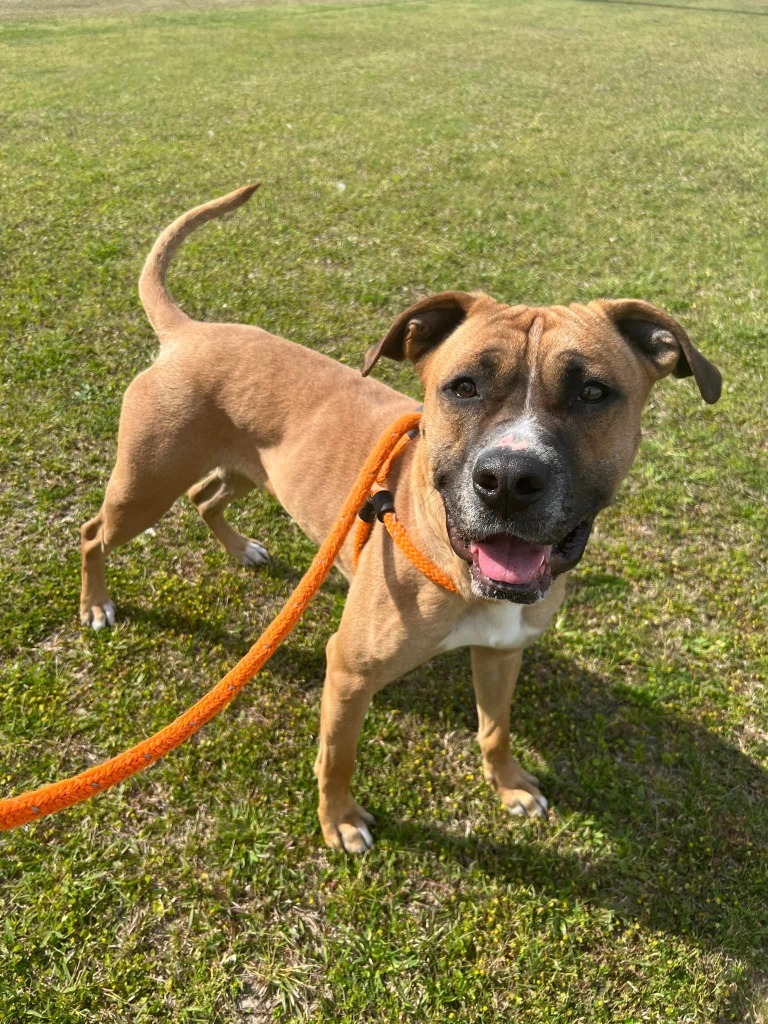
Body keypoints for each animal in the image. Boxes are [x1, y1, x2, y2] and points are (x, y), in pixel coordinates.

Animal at [81, 182, 724, 847]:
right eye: (462, 386)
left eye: (593, 392)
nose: (508, 481)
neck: (460, 567)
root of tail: (189, 331)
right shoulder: (349, 672)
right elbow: (337, 757)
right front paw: (339, 822)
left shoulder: (502, 653)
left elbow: (495, 728)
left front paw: (510, 785)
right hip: (143, 488)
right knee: (92, 532)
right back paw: (97, 604)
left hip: (247, 469)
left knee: (204, 498)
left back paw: (240, 549)